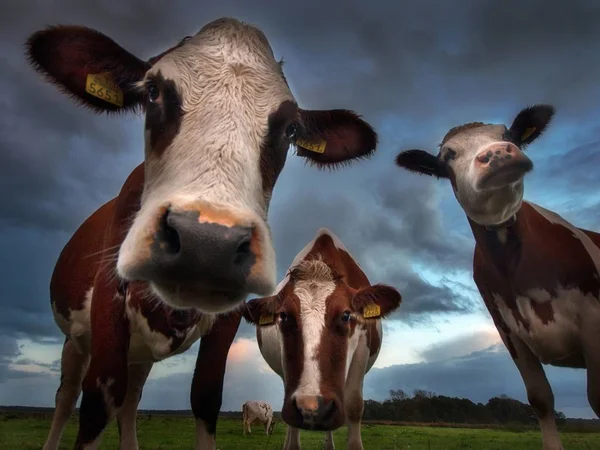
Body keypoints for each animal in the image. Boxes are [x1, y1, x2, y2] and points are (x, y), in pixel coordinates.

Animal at [25, 17, 380, 450]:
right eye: (152, 91)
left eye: (291, 128)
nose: (206, 244)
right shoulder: (109, 303)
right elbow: (96, 402)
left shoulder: (227, 321)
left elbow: (205, 398)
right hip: (75, 342)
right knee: (67, 398)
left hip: (138, 355)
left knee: (131, 400)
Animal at [394, 103, 600, 448]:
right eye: (448, 155)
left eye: (509, 135)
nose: (498, 153)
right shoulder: (509, 331)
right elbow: (540, 399)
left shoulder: (593, 324)